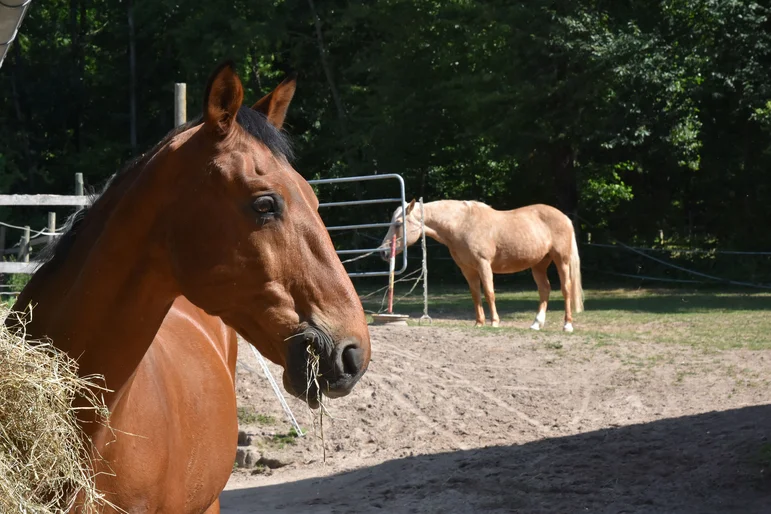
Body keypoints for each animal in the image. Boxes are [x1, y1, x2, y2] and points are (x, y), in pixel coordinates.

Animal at [380, 199, 583, 331]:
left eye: (398, 224)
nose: (383, 252)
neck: (462, 223)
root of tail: (565, 217)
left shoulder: (483, 264)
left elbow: (489, 292)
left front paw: (494, 322)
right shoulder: (468, 269)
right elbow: (476, 295)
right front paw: (479, 323)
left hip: (561, 260)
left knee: (566, 289)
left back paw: (567, 325)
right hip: (539, 264)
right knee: (544, 289)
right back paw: (536, 324)